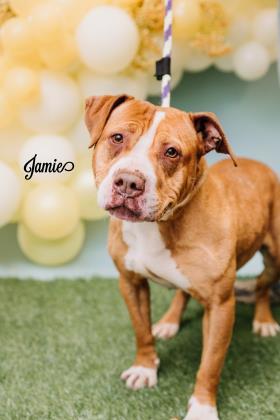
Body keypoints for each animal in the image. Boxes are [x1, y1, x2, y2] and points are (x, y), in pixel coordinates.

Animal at [85, 95, 280, 420]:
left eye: (172, 152)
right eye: (117, 137)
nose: (128, 182)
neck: (159, 225)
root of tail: (262, 166)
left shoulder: (220, 305)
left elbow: (210, 364)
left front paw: (202, 407)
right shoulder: (131, 283)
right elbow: (141, 331)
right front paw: (144, 368)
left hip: (275, 258)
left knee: (263, 284)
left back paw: (264, 320)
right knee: (183, 291)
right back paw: (169, 321)